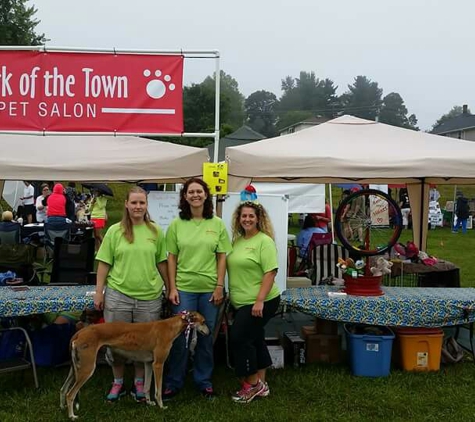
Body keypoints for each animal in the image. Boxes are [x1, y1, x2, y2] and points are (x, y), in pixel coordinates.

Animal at [59, 310, 208, 418]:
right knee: (70, 394)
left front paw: (149, 402)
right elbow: (158, 390)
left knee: (63, 389)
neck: (170, 326)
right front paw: (161, 406)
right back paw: (72, 416)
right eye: (203, 321)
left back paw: (62, 407)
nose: (209, 332)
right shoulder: (158, 364)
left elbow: (147, 387)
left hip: (75, 368)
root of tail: (79, 333)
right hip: (87, 368)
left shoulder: (149, 364)